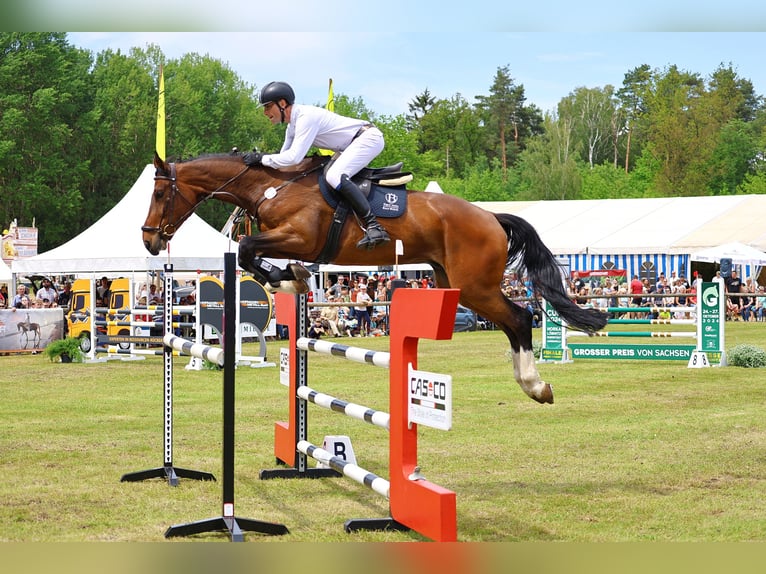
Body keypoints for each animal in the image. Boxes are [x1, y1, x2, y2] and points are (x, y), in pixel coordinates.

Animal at [144, 153, 608, 404]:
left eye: (160, 193)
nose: (150, 241)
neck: (272, 186)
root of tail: (492, 217)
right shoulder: (288, 241)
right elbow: (250, 253)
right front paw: (290, 278)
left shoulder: (299, 238)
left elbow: (245, 249)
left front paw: (288, 278)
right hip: (458, 286)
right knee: (513, 321)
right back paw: (530, 382)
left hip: (476, 286)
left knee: (519, 318)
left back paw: (535, 384)